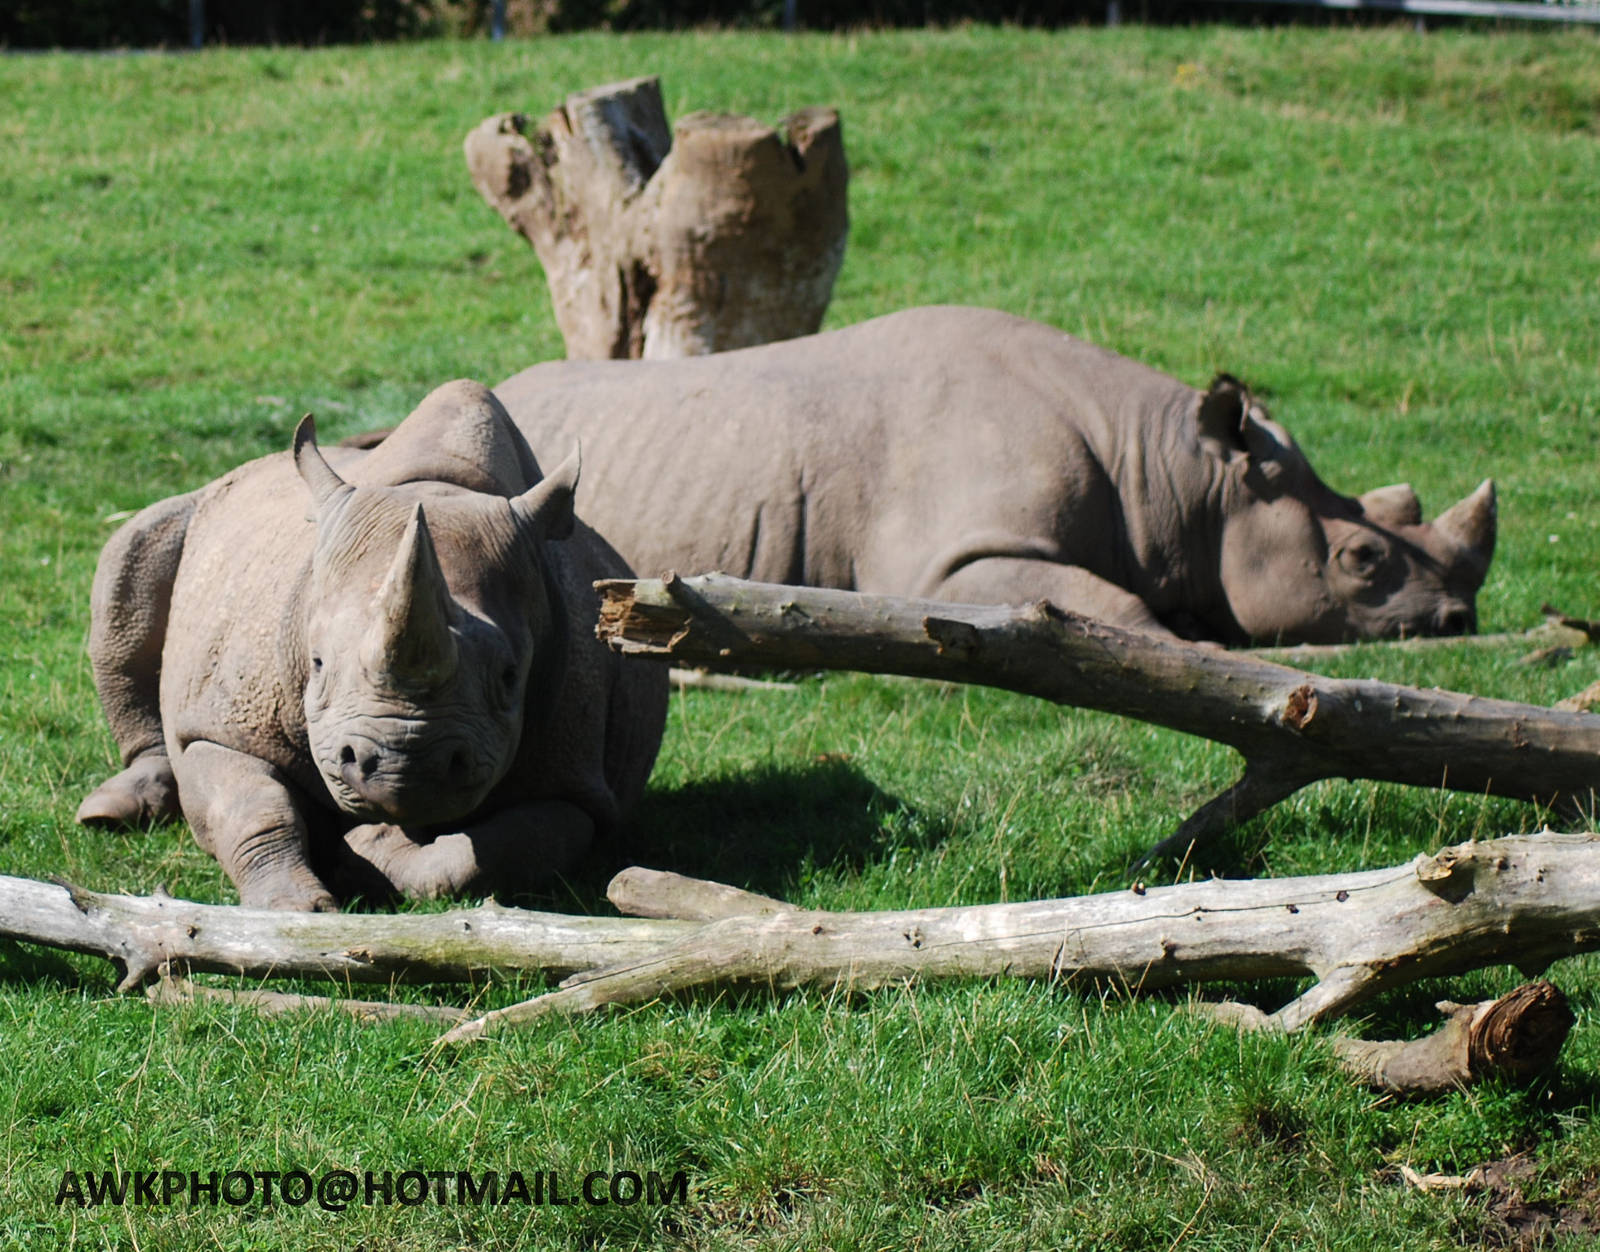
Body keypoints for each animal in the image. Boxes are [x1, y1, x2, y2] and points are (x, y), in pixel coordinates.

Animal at [76, 381, 667, 911]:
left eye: (508, 676)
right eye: (316, 663)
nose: (404, 767)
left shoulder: (575, 778)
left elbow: (495, 854)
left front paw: (365, 849)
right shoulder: (219, 726)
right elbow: (253, 808)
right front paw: (295, 909)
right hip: (195, 514)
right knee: (132, 550)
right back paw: (110, 811)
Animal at [493, 306, 1496, 645]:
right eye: (1363, 559)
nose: (1459, 621)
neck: (1174, 476)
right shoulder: (947, 564)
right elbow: (1112, 607)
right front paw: (1191, 651)